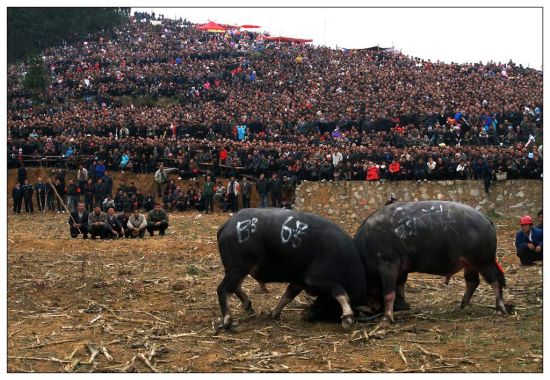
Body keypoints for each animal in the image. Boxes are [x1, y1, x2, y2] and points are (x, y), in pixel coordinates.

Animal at [218, 208, 368, 330]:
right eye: (332, 308)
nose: (305, 314)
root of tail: (228, 224)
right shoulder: (315, 279)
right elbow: (340, 292)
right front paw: (347, 319)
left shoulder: (298, 282)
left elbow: (286, 297)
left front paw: (273, 314)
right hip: (238, 268)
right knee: (223, 289)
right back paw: (228, 322)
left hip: (237, 270)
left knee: (235, 287)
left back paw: (248, 307)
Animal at [356, 200, 506, 322]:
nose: (365, 312)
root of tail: (486, 219)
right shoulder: (402, 269)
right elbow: (400, 287)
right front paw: (404, 306)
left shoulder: (388, 264)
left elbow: (389, 293)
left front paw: (387, 319)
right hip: (470, 263)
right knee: (473, 281)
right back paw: (463, 305)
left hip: (483, 261)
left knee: (495, 279)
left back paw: (500, 309)